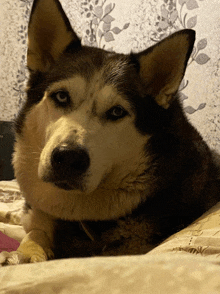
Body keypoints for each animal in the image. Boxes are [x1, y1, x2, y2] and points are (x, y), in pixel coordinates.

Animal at [0, 0, 219, 264]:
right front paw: (23, 253)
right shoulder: (39, 216)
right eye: (61, 97)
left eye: (116, 112)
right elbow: (33, 233)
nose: (68, 157)